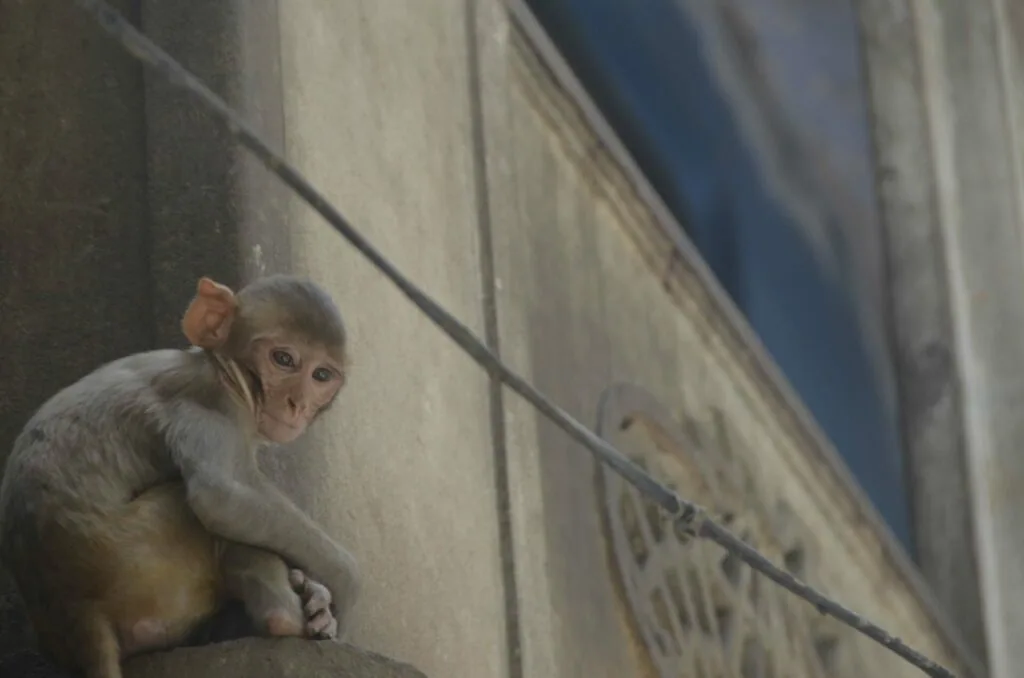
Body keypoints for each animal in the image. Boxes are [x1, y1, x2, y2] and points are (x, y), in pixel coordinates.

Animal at [0, 274, 361, 678]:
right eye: (284, 359)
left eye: (321, 375)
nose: (297, 404)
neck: (223, 370)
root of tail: (77, 610)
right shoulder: (211, 407)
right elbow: (221, 499)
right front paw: (344, 581)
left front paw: (318, 590)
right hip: (142, 557)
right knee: (205, 515)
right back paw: (282, 620)